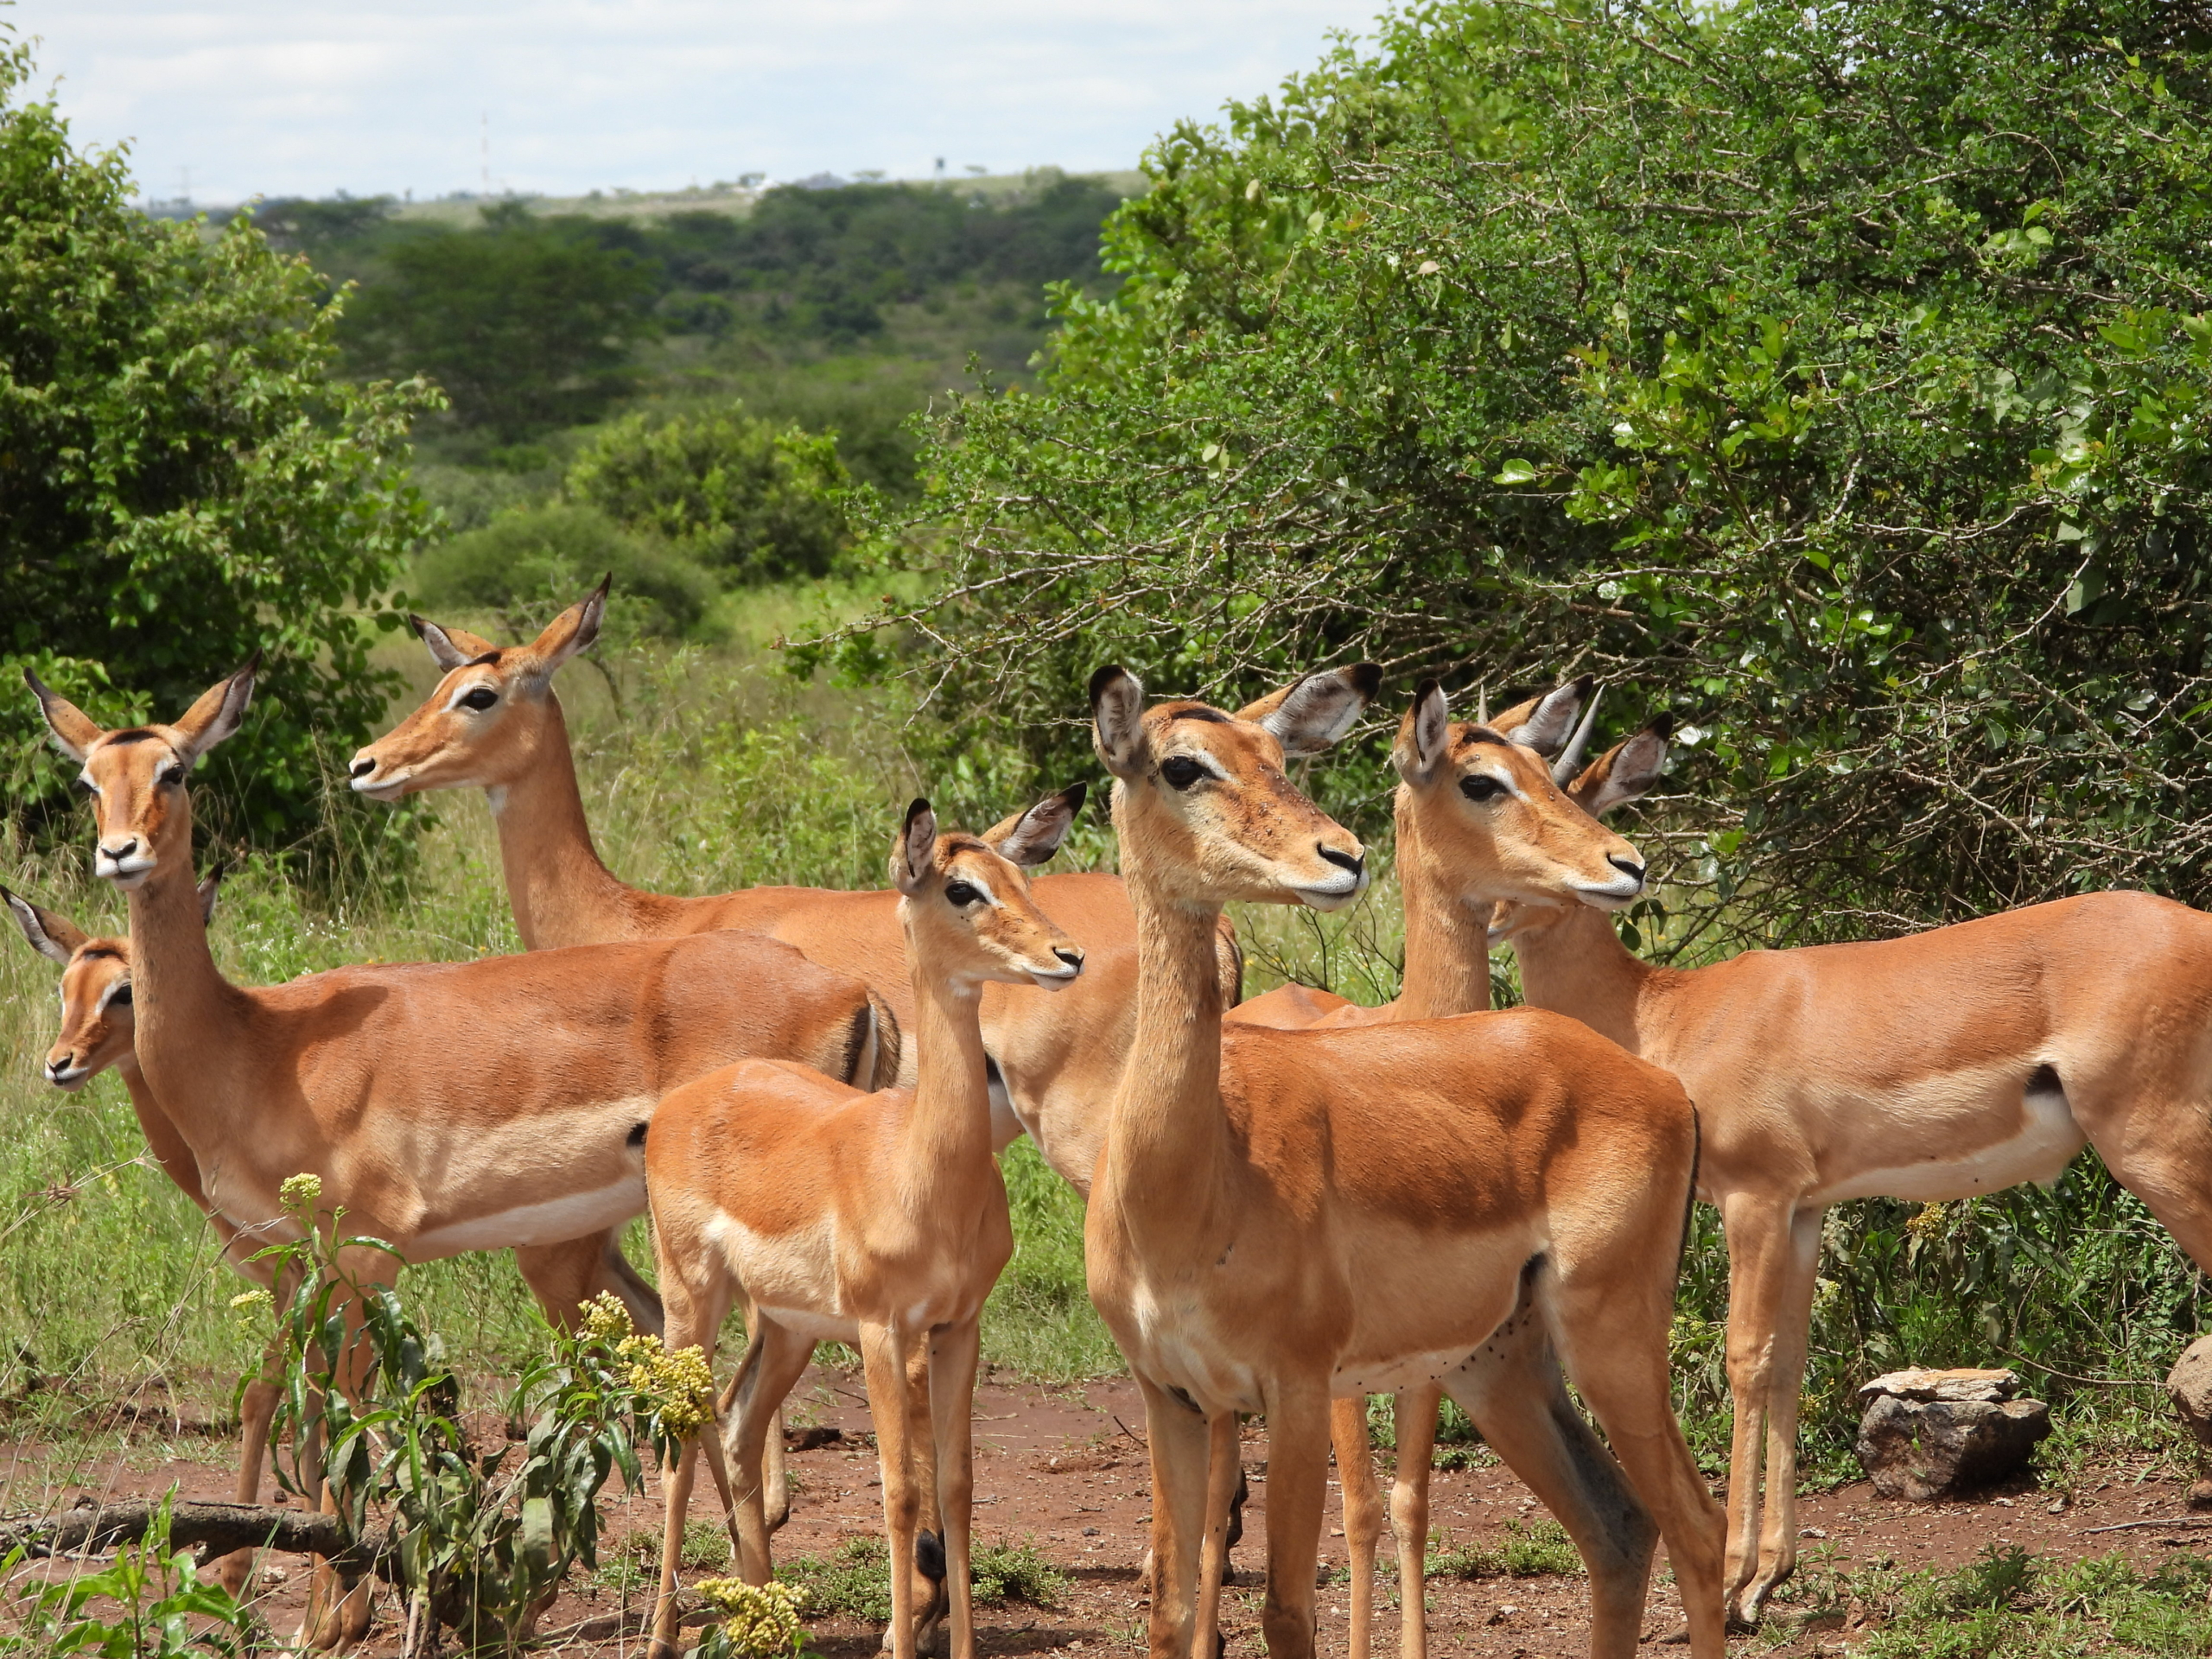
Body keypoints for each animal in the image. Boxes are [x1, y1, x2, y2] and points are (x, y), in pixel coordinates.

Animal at [645, 791, 1084, 1659]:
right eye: (960, 888)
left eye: (1020, 876)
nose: (1066, 955)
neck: (922, 1168)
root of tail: (679, 1106)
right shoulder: (886, 1330)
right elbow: (899, 1490)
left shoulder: (958, 1326)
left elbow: (957, 1485)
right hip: (692, 1303)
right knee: (681, 1443)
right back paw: (661, 1635)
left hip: (788, 1327)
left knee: (737, 1426)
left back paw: (766, 1623)